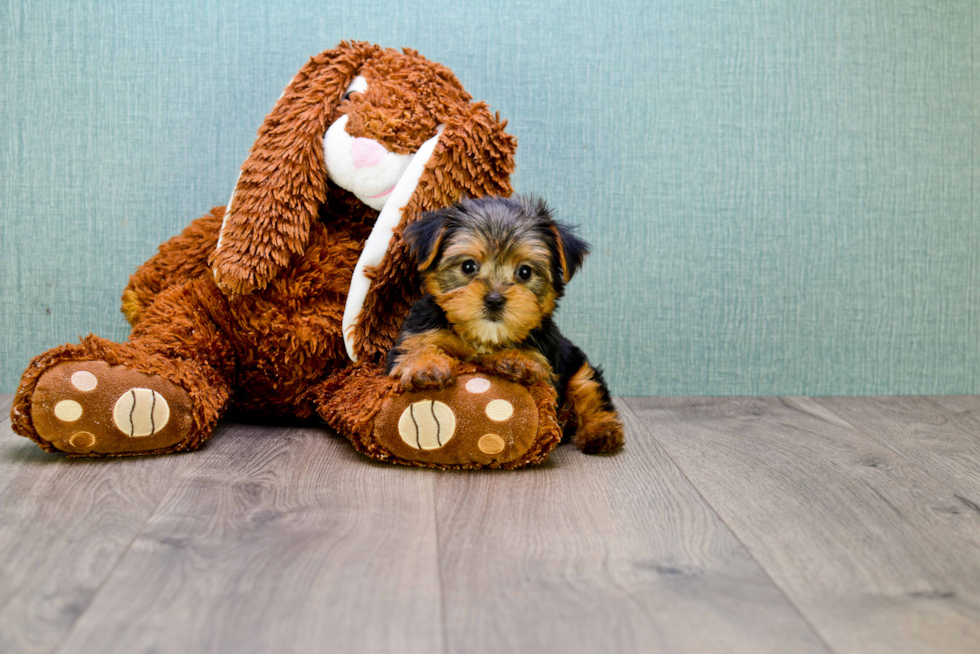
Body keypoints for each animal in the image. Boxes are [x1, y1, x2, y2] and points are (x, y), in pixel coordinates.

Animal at [386, 195, 624, 456]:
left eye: (525, 272)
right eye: (468, 266)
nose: (494, 299)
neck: (483, 337)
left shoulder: (548, 356)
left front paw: (517, 360)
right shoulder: (418, 331)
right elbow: (417, 346)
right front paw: (426, 365)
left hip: (578, 365)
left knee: (590, 393)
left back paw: (600, 431)